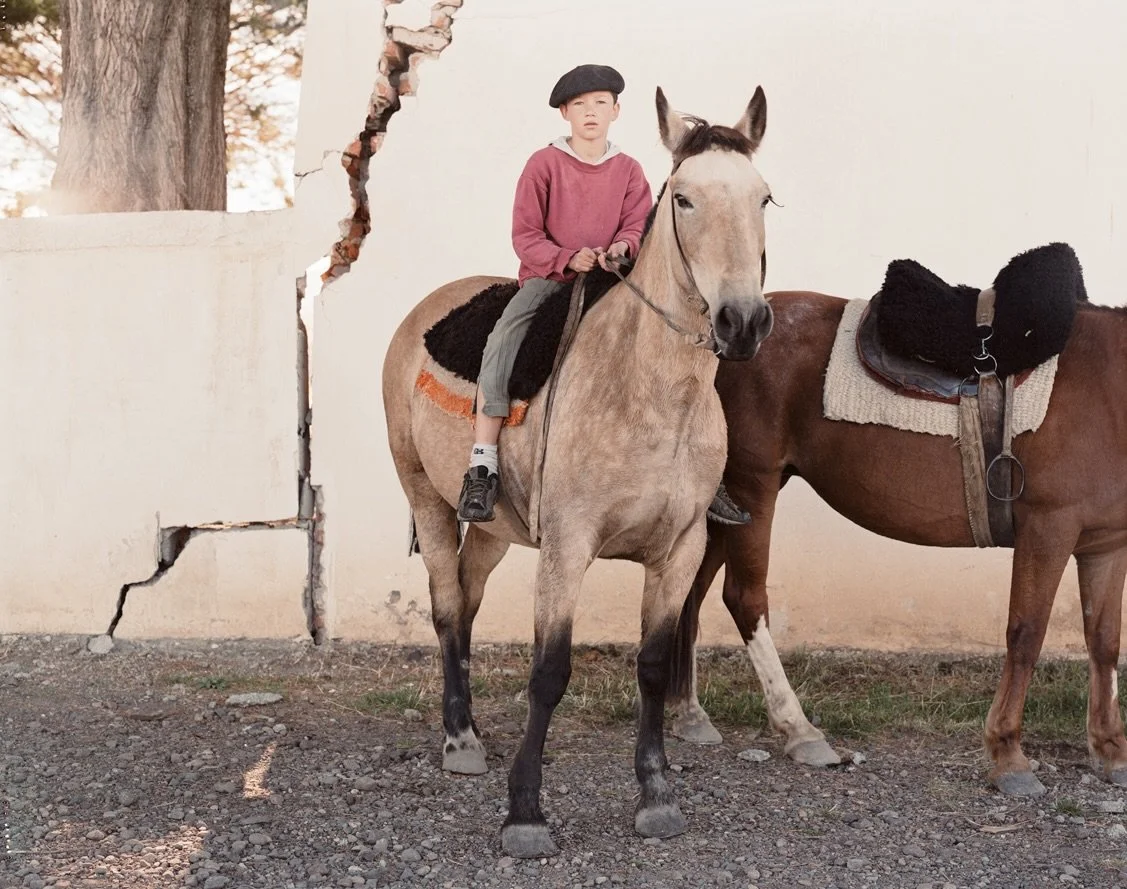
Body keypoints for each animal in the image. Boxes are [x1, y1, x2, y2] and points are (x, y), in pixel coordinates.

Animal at [382, 87, 775, 857]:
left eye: (763, 197)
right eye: (684, 198)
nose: (742, 322)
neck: (646, 391)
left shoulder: (681, 548)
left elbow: (652, 664)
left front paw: (655, 794)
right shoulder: (567, 545)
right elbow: (549, 670)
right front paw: (525, 812)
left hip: (496, 530)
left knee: (466, 602)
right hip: (424, 496)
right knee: (445, 605)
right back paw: (460, 737)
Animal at [666, 287, 1127, 797]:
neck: (1107, 384)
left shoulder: (1105, 546)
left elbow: (1104, 641)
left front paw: (1111, 750)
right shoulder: (1048, 529)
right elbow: (1026, 634)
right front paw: (1008, 754)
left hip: (728, 500)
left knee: (692, 589)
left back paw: (689, 715)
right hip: (752, 485)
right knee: (744, 598)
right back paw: (799, 729)